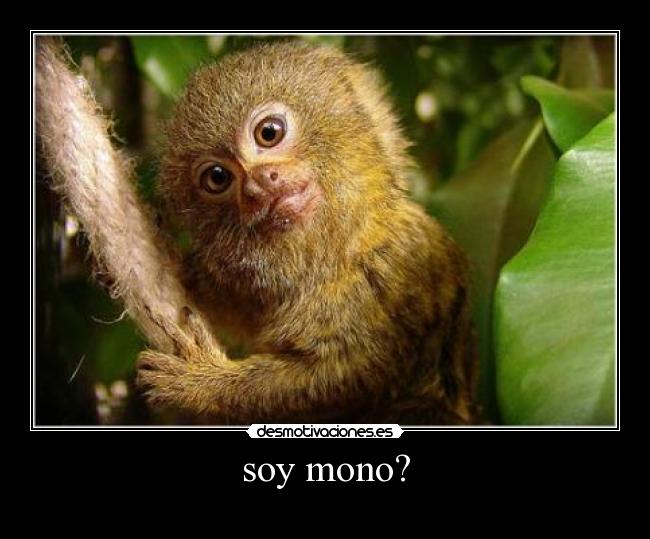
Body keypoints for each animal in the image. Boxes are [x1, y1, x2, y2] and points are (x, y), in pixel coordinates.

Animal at [35, 37, 478, 425]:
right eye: (218, 178)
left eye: (269, 132)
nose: (259, 184)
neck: (338, 255)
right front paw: (182, 268)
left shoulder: (404, 264)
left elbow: (343, 380)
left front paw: (202, 384)